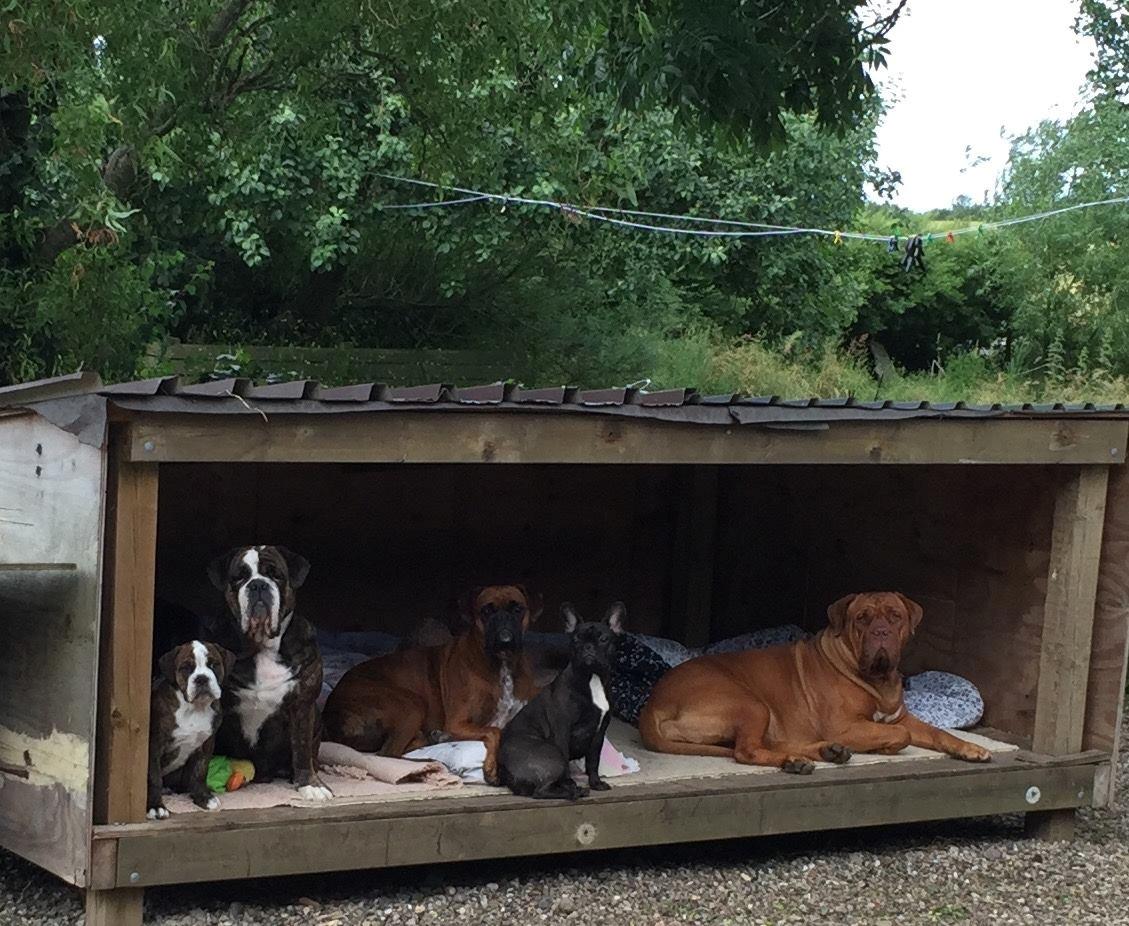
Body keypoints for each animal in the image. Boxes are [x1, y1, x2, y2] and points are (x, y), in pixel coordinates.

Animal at [322, 587, 541, 781]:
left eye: (517, 609)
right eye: (486, 611)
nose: (503, 622)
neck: (502, 664)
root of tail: (331, 713)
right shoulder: (457, 722)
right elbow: (495, 731)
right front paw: (492, 768)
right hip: (411, 703)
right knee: (388, 754)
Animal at [641, 591, 993, 772]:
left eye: (895, 616)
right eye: (862, 618)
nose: (881, 632)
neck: (877, 681)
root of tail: (653, 703)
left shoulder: (902, 717)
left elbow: (938, 733)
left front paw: (970, 748)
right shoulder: (845, 726)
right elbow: (901, 735)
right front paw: (886, 745)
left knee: (766, 743)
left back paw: (825, 752)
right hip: (750, 704)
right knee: (747, 751)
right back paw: (797, 760)